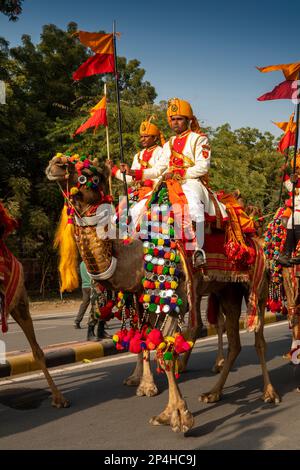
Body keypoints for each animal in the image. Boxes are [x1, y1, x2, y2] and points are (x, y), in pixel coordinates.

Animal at [45, 155, 280, 434]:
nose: (55, 165)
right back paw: (213, 393)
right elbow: (146, 339)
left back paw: (269, 393)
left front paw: (178, 416)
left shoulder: (174, 297)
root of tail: (252, 232)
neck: (137, 252)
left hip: (256, 287)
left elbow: (163, 351)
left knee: (258, 338)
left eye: (89, 176)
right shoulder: (144, 295)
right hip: (226, 290)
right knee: (232, 340)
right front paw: (150, 391)